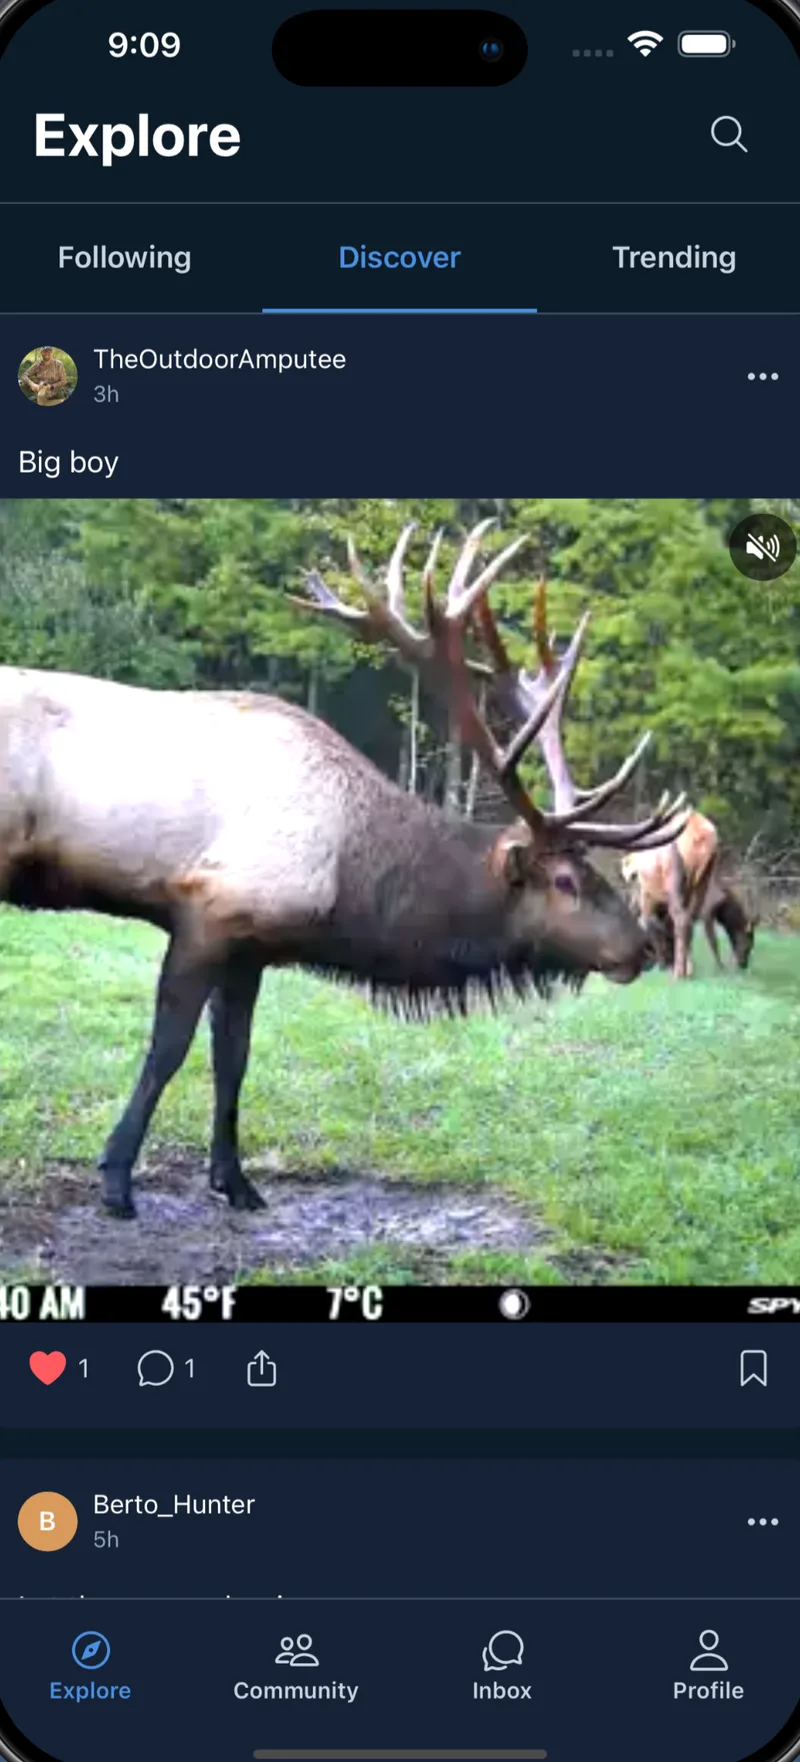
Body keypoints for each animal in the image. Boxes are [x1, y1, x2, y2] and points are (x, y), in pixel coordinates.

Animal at [0, 522, 686, 1219]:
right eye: (567, 881)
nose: (642, 945)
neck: (350, 886)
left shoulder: (251, 948)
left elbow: (233, 1059)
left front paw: (235, 1181)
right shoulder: (208, 913)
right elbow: (168, 1050)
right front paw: (116, 1179)